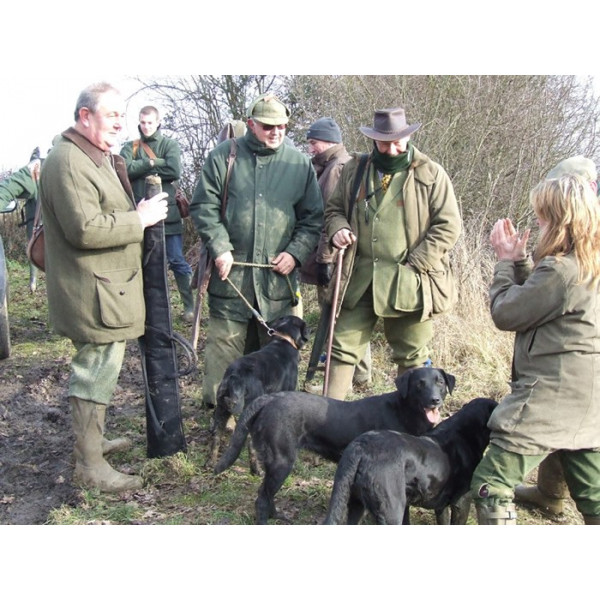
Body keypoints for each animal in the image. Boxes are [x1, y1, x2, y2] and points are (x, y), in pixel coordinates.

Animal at [208, 315, 310, 471]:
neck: (283, 340)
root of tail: (236, 376)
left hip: (221, 410)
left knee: (216, 437)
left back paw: (211, 463)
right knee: (251, 447)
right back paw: (257, 470)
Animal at [214, 367, 455, 524]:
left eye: (440, 382)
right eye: (419, 384)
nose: (435, 400)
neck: (404, 410)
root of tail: (269, 398)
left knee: (267, 494)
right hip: (282, 461)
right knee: (262, 498)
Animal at [323, 397, 498, 525]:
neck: (467, 431)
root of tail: (360, 446)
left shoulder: (441, 506)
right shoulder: (462, 502)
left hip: (355, 503)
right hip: (392, 508)